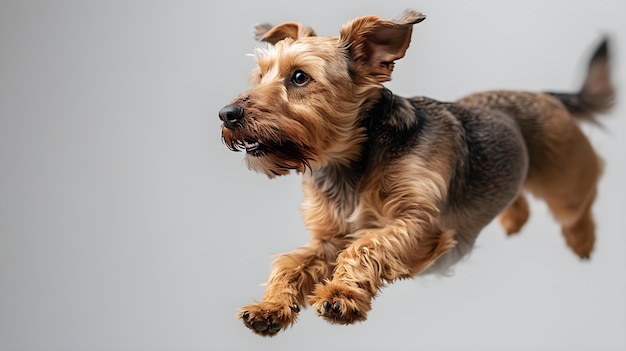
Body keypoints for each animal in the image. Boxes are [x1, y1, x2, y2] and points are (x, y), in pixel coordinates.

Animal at [217, 9, 612, 336]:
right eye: (259, 76)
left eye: (299, 77)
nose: (226, 114)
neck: (352, 163)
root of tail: (546, 95)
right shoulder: (327, 238)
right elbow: (290, 262)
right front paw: (269, 307)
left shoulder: (421, 224)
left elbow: (365, 244)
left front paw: (341, 294)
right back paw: (513, 220)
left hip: (565, 181)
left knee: (586, 192)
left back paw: (582, 240)